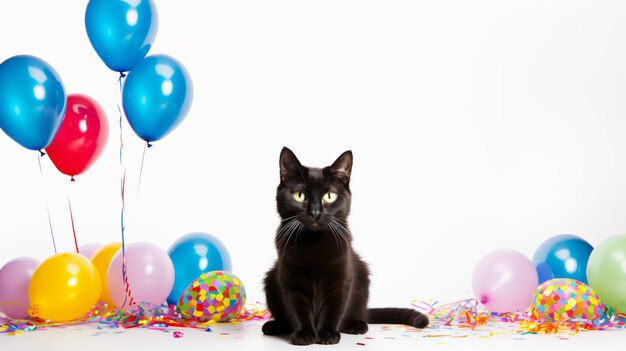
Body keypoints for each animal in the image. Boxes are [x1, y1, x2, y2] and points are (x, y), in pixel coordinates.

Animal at [260, 148, 426, 346]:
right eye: (299, 195)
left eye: (329, 196)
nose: (315, 212)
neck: (314, 243)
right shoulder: (290, 280)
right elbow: (297, 309)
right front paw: (304, 334)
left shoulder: (342, 279)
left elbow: (334, 308)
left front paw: (327, 334)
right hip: (270, 278)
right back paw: (273, 326)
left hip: (362, 276)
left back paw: (356, 325)